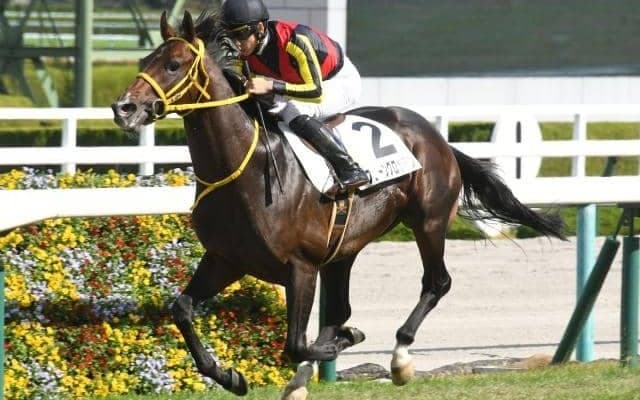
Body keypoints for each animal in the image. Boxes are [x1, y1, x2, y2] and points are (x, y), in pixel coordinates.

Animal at [112, 10, 565, 399]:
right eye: (146, 58)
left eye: (173, 64)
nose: (123, 108)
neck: (246, 167)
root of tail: (435, 136)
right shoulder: (227, 259)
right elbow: (182, 309)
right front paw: (230, 376)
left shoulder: (300, 268)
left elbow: (296, 343)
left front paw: (348, 341)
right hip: (343, 249)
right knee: (342, 307)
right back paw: (305, 377)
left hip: (429, 221)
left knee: (437, 283)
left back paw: (399, 360)